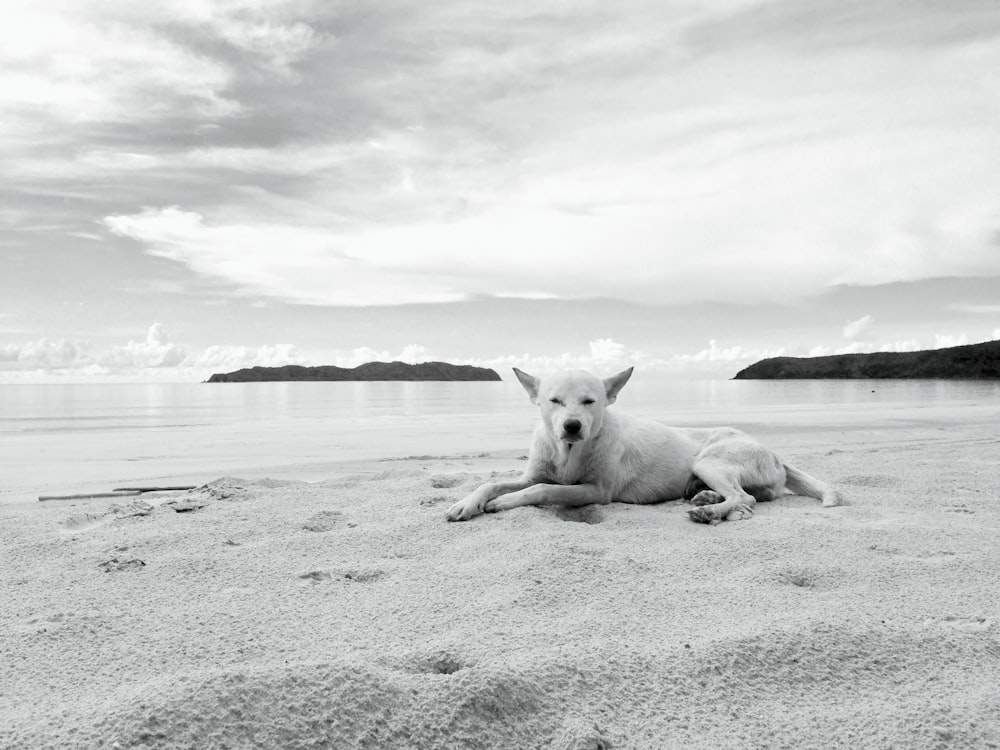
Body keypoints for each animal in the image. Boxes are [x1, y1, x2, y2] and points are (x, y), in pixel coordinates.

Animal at [446, 368, 844, 524]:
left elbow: (543, 490)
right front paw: (467, 503)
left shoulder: (597, 491)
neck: (569, 453)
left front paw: (503, 503)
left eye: (590, 402)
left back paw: (709, 511)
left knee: (744, 499)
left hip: (710, 461)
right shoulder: (534, 473)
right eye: (554, 401)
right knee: (747, 498)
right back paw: (705, 498)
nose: (572, 426)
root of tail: (774, 452)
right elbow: (492, 482)